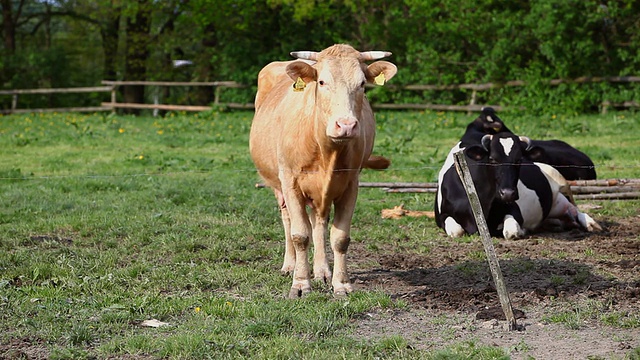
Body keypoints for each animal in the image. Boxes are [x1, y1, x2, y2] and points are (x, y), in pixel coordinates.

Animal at [249, 44, 396, 298]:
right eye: (322, 82)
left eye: (362, 84)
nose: (346, 125)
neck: (327, 152)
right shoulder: (290, 182)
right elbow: (300, 235)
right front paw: (300, 284)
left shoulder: (351, 184)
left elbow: (340, 237)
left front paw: (342, 284)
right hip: (278, 184)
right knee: (288, 220)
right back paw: (290, 265)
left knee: (318, 223)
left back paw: (322, 271)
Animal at [432, 131, 604, 238]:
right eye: (492, 159)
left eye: (519, 160)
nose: (508, 193)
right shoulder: (442, 216)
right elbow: (457, 231)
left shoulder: (515, 209)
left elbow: (511, 231)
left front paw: (521, 231)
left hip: (563, 184)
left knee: (574, 208)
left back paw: (589, 223)